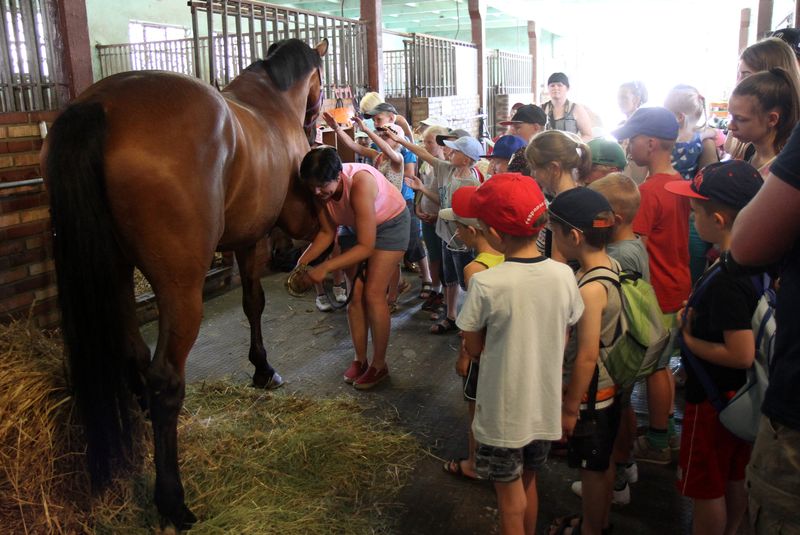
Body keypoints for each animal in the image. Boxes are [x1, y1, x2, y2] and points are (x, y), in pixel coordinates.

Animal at [39, 38, 328, 532]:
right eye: (322, 84)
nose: (315, 125)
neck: (271, 104)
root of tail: (98, 105)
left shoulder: (243, 240)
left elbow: (252, 302)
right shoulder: (269, 232)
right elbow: (256, 301)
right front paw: (263, 369)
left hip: (117, 273)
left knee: (134, 355)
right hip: (179, 287)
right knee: (165, 379)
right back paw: (173, 502)